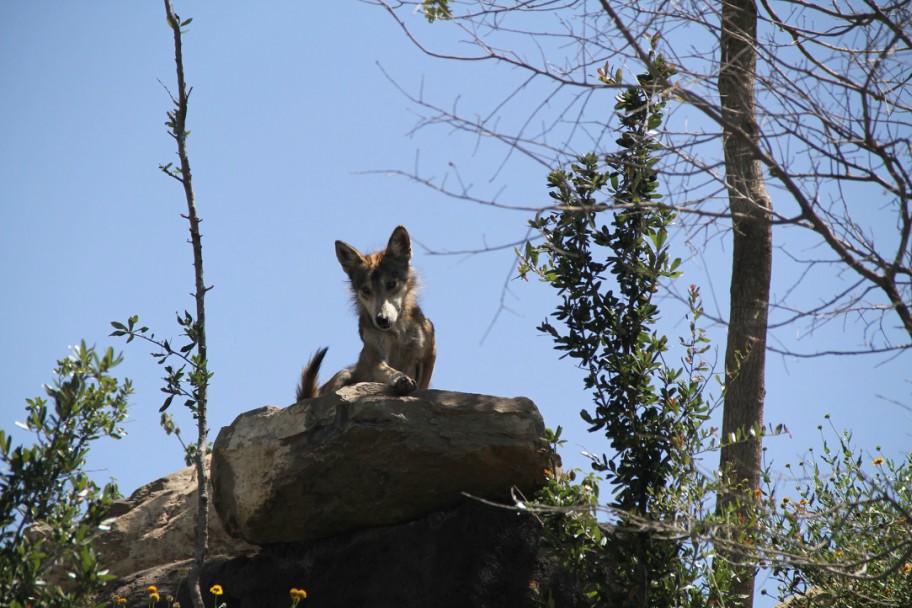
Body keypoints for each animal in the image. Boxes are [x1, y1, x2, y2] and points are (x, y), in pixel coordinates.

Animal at [296, 225, 437, 400]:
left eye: (391, 284)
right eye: (366, 290)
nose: (382, 320)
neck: (398, 335)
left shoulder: (429, 355)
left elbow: (423, 384)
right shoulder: (375, 357)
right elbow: (388, 370)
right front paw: (401, 379)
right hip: (343, 374)